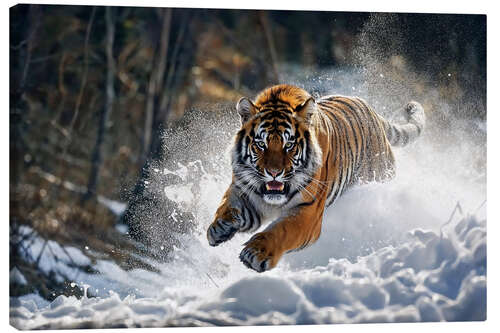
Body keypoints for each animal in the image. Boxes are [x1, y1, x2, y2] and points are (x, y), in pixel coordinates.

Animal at [205, 83, 424, 272]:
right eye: (261, 144)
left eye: (289, 144)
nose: (274, 172)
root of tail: (370, 109)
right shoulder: (244, 191)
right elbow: (227, 206)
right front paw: (218, 229)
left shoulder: (308, 212)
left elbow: (282, 230)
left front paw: (256, 253)